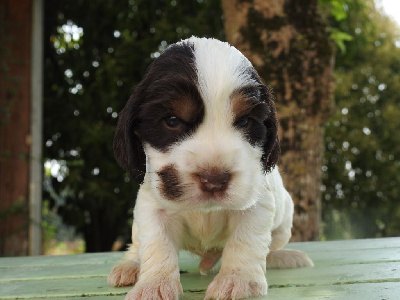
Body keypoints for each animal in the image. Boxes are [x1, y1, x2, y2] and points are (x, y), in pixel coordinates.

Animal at [108, 37, 314, 300]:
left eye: (245, 121)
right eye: (172, 120)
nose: (214, 180)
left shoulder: (256, 204)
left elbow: (246, 240)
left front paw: (238, 280)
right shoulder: (152, 206)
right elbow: (157, 242)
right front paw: (154, 284)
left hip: (284, 220)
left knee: (270, 247)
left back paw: (283, 256)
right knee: (137, 244)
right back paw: (130, 265)